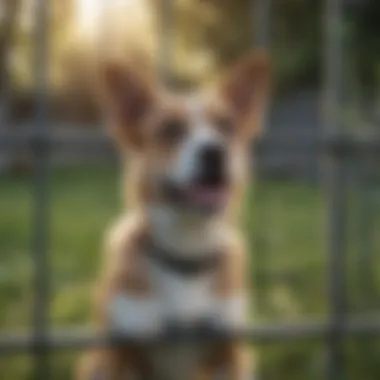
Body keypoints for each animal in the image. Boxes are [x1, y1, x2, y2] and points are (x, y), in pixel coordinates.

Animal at [77, 50, 270, 380]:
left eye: (226, 125)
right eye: (170, 129)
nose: (215, 151)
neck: (187, 253)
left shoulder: (228, 352)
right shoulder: (124, 350)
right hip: (94, 364)